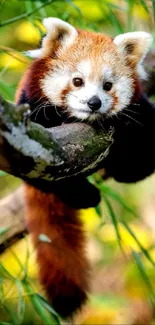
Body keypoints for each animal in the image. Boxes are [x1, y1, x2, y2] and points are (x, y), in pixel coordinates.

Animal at [15, 17, 152, 316]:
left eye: (108, 85)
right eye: (77, 81)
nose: (94, 103)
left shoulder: (142, 112)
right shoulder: (31, 113)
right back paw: (86, 195)